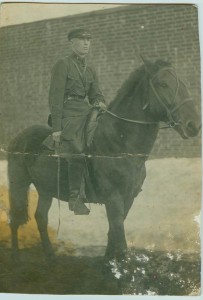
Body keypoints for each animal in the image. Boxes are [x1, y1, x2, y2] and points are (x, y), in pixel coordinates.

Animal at [7, 58, 200, 260]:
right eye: (163, 84)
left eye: (183, 83)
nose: (194, 125)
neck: (120, 141)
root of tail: (18, 138)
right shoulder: (113, 198)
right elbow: (120, 242)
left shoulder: (128, 199)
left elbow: (112, 235)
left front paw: (108, 262)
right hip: (19, 184)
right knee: (15, 219)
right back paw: (15, 255)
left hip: (45, 189)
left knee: (41, 217)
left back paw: (50, 255)